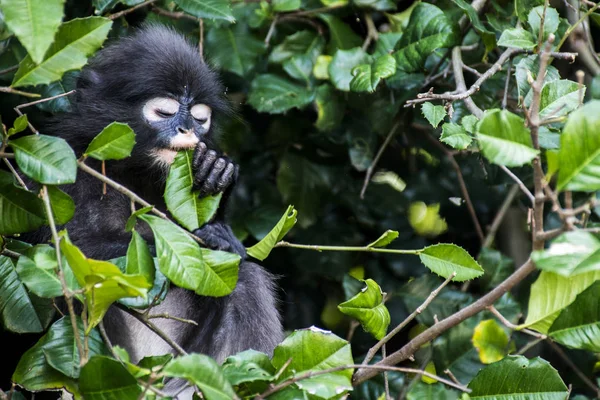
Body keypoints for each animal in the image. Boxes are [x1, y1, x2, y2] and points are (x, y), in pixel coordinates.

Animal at [31, 25, 286, 396]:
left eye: (199, 117)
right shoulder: (60, 168)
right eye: (164, 113)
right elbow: (62, 251)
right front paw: (203, 241)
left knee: (244, 280)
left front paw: (216, 175)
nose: (187, 129)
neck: (134, 176)